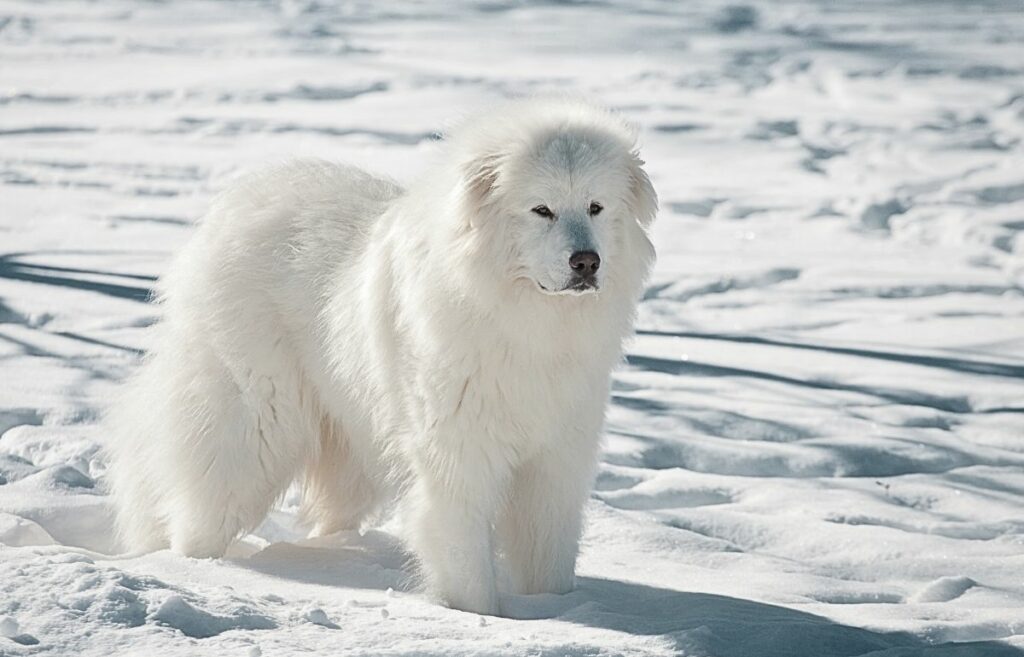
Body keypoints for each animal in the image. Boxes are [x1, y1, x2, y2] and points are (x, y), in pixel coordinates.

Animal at [108, 97, 659, 614]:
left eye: (596, 206)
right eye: (541, 209)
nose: (586, 262)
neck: (524, 321)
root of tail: (233, 206)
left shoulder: (555, 462)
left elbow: (549, 554)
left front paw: (554, 610)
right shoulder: (458, 457)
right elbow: (465, 559)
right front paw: (479, 618)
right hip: (256, 424)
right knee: (204, 502)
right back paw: (191, 569)